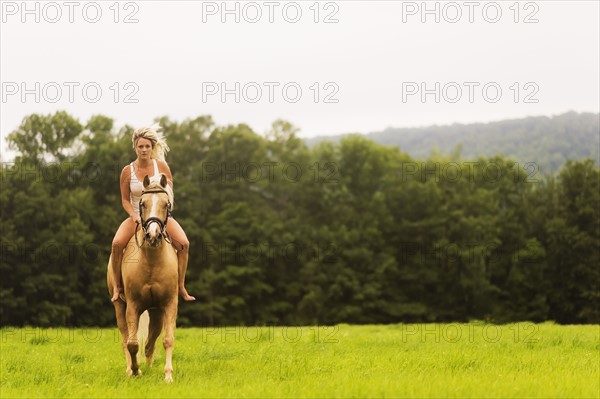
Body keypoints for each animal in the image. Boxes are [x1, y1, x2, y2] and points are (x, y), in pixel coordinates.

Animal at [107, 175, 178, 384]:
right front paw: (135, 371)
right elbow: (131, 343)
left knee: (150, 342)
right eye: (143, 203)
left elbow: (167, 340)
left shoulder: (169, 304)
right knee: (126, 339)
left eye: (166, 204)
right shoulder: (133, 305)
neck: (152, 261)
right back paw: (131, 369)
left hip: (156, 312)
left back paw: (149, 366)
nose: (153, 235)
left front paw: (168, 375)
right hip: (120, 306)